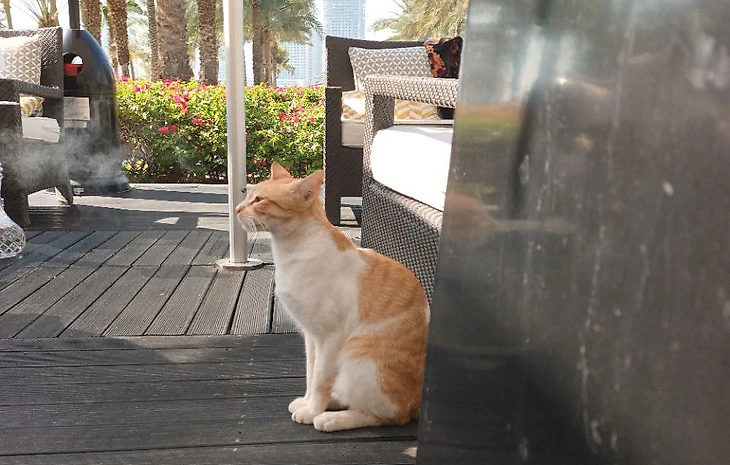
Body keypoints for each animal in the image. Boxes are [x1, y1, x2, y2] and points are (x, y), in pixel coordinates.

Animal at [236, 162, 430, 432]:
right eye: (248, 195)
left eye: (259, 200)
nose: (236, 209)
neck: (291, 251)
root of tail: (418, 403)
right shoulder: (310, 336)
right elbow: (311, 374)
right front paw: (308, 402)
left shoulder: (330, 337)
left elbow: (320, 380)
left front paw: (312, 411)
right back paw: (335, 401)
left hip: (357, 359)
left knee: (388, 415)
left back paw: (333, 418)